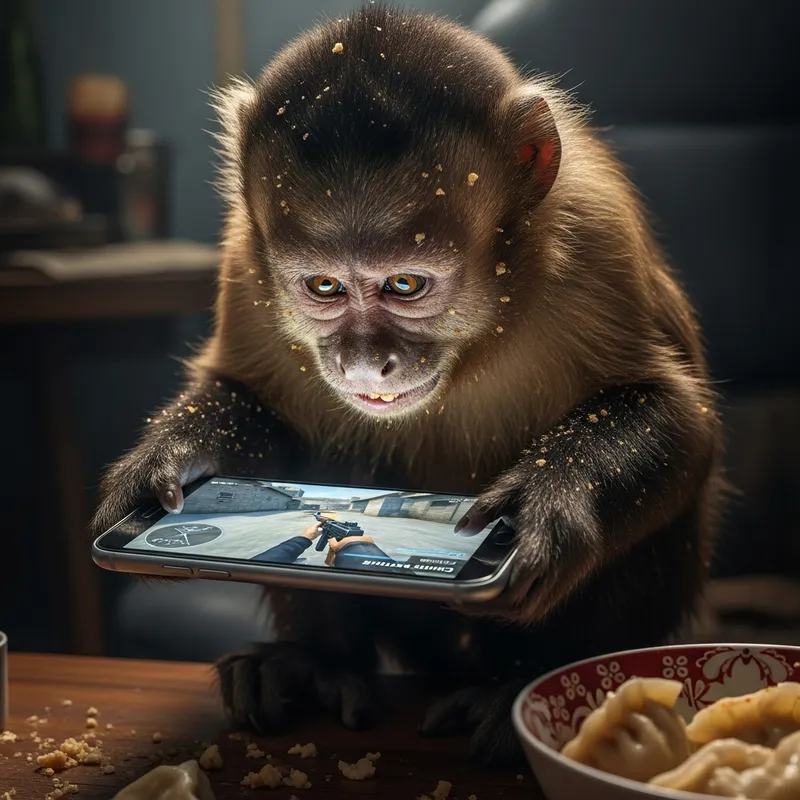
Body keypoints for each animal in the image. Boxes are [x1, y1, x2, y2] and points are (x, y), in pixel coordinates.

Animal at [93, 6, 724, 766]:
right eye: (324, 287)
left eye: (405, 284)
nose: (367, 365)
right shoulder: (246, 255)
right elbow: (255, 402)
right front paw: (169, 464)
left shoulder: (592, 231)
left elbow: (678, 420)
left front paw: (549, 499)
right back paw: (319, 664)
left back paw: (518, 683)